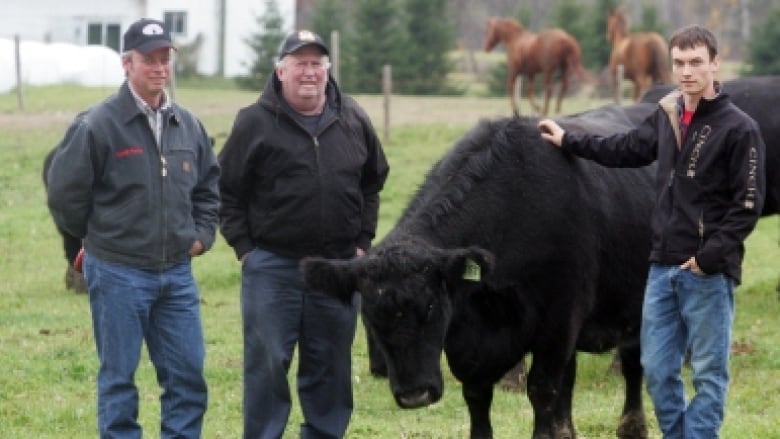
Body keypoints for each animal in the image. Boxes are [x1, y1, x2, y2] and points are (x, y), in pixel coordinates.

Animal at [302, 108, 656, 438]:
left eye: (430, 306)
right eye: (371, 317)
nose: (415, 395)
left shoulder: (559, 321)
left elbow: (542, 390)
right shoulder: (468, 342)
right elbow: (477, 396)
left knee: (632, 365)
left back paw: (632, 426)